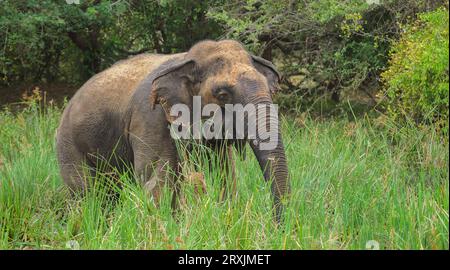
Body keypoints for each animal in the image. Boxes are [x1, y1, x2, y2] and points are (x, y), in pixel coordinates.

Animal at [55, 39, 288, 221]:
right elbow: (158, 181)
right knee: (85, 193)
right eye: (222, 95)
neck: (186, 59)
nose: (278, 226)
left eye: (270, 91)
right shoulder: (151, 117)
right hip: (69, 144)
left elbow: (224, 174)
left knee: (109, 193)